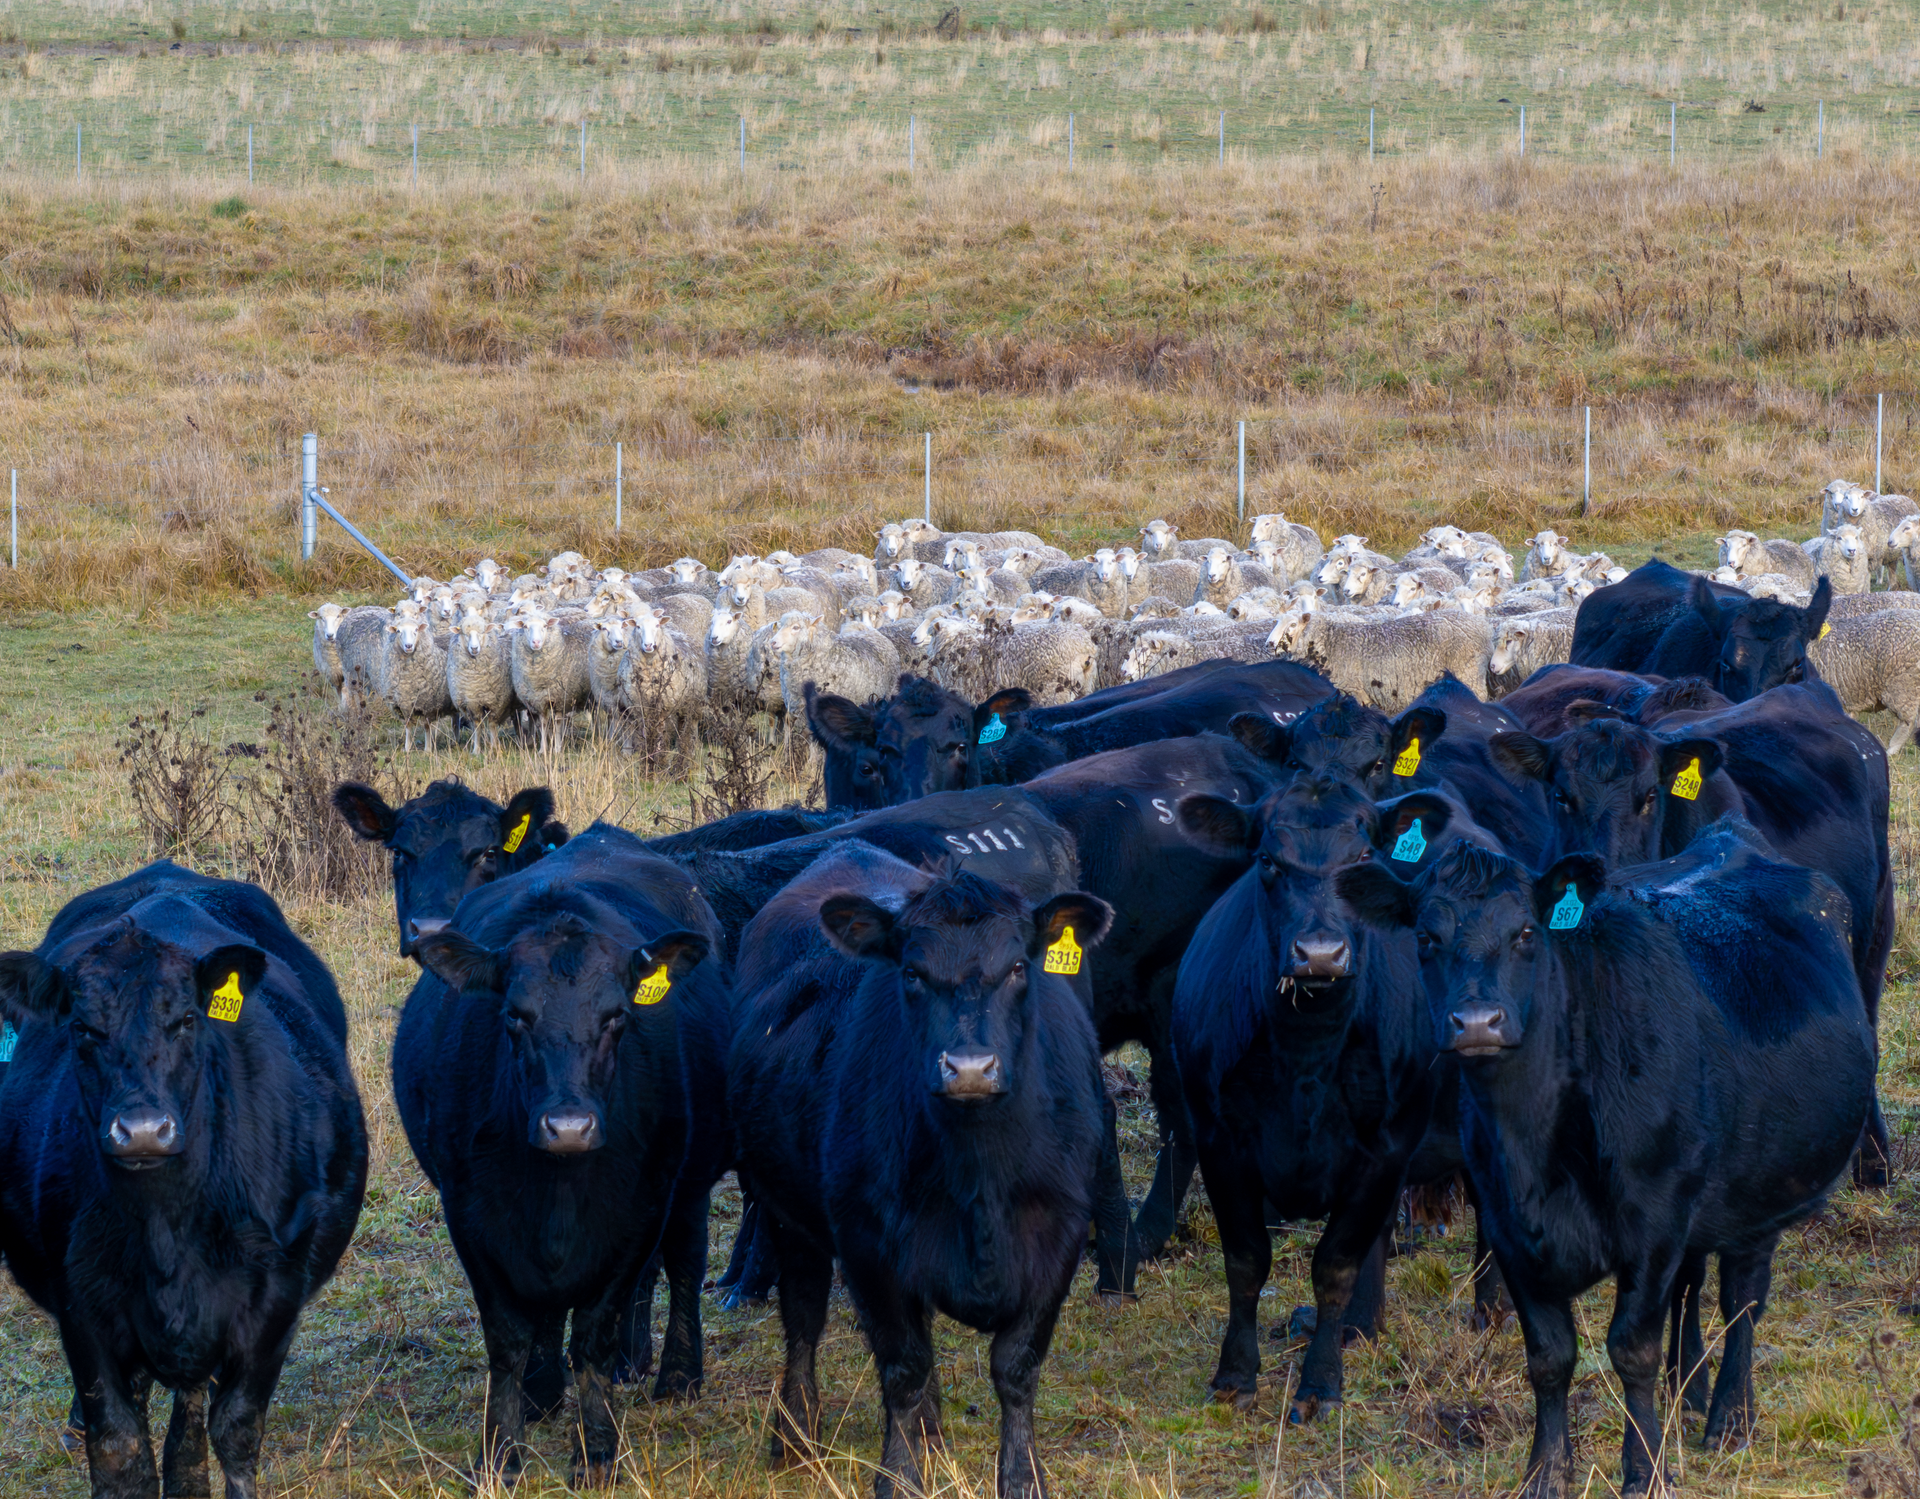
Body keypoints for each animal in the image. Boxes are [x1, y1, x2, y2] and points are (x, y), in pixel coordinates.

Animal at [0, 862, 367, 1499]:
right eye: (83, 1028)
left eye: (188, 1020)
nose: (143, 1131)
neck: (164, 1228)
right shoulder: (84, 1309)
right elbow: (120, 1449)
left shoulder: (273, 1299)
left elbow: (235, 1431)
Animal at [393, 825, 731, 1483]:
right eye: (515, 1015)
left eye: (617, 1016)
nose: (568, 1128)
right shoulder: (472, 1219)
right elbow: (509, 1337)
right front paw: (500, 1452)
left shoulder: (639, 1213)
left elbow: (595, 1337)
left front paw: (596, 1451)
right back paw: (543, 1391)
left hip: (689, 1185)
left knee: (685, 1259)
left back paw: (678, 1373)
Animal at [730, 862, 1112, 1499]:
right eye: (911, 972)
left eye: (1018, 966)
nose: (970, 1069)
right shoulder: (869, 1246)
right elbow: (904, 1368)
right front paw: (900, 1477)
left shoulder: (1058, 1239)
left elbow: (1015, 1368)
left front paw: (1022, 1477)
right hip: (788, 1217)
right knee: (803, 1322)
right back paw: (796, 1436)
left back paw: (932, 1436)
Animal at [1169, 773, 1438, 1420]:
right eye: (1267, 860)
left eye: (1363, 857)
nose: (1320, 954)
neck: (1307, 1057)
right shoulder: (1220, 1142)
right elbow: (1246, 1262)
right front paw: (1235, 1376)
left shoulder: (1385, 1151)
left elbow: (1336, 1266)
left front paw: (1321, 1383)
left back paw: (1354, 1328)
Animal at [1338, 829, 1874, 1498]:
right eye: (1425, 939)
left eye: (1526, 932)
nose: (1477, 1023)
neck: (1537, 1146)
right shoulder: (1509, 1227)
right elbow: (1549, 1356)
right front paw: (1545, 1471)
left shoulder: (1654, 1219)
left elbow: (1632, 1350)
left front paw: (1645, 1468)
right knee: (1692, 1287)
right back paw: (1689, 1392)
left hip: (1764, 1192)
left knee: (1742, 1301)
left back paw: (1729, 1417)